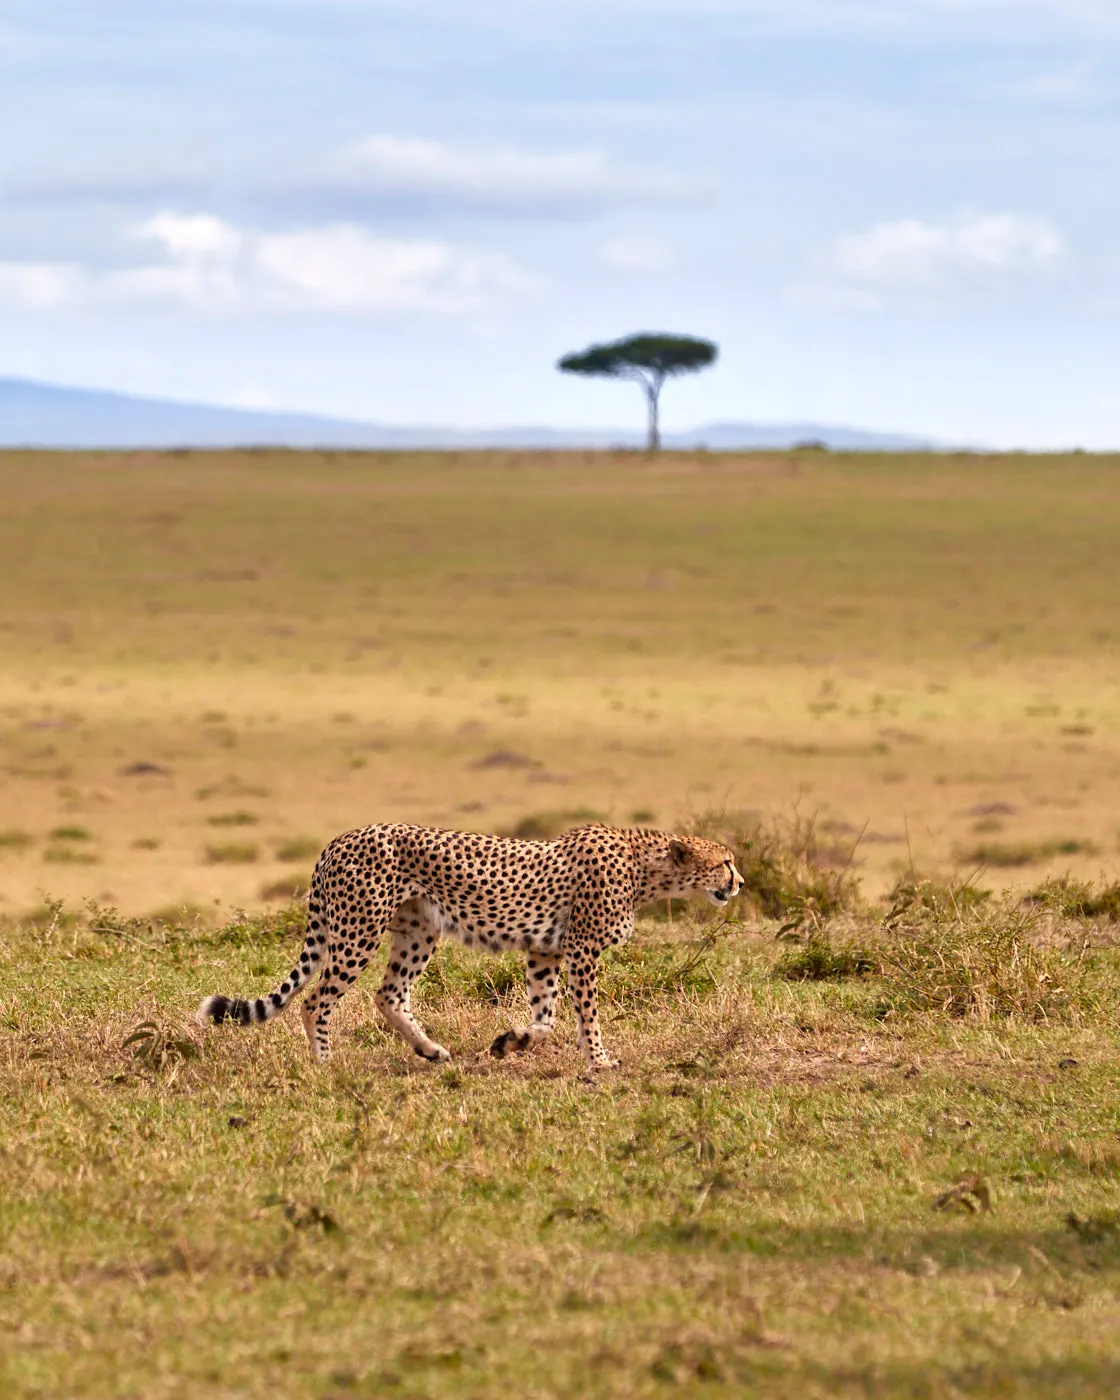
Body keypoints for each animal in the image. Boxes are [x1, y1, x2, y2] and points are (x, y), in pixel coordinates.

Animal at [197, 821, 743, 1069]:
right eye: (725, 862)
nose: (739, 883)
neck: (647, 870)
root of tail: (341, 837)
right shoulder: (582, 950)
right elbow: (586, 1013)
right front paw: (600, 1060)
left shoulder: (545, 950)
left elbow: (546, 1016)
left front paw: (511, 1042)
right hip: (359, 931)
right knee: (315, 1000)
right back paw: (326, 1063)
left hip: (419, 930)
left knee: (388, 995)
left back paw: (431, 1050)